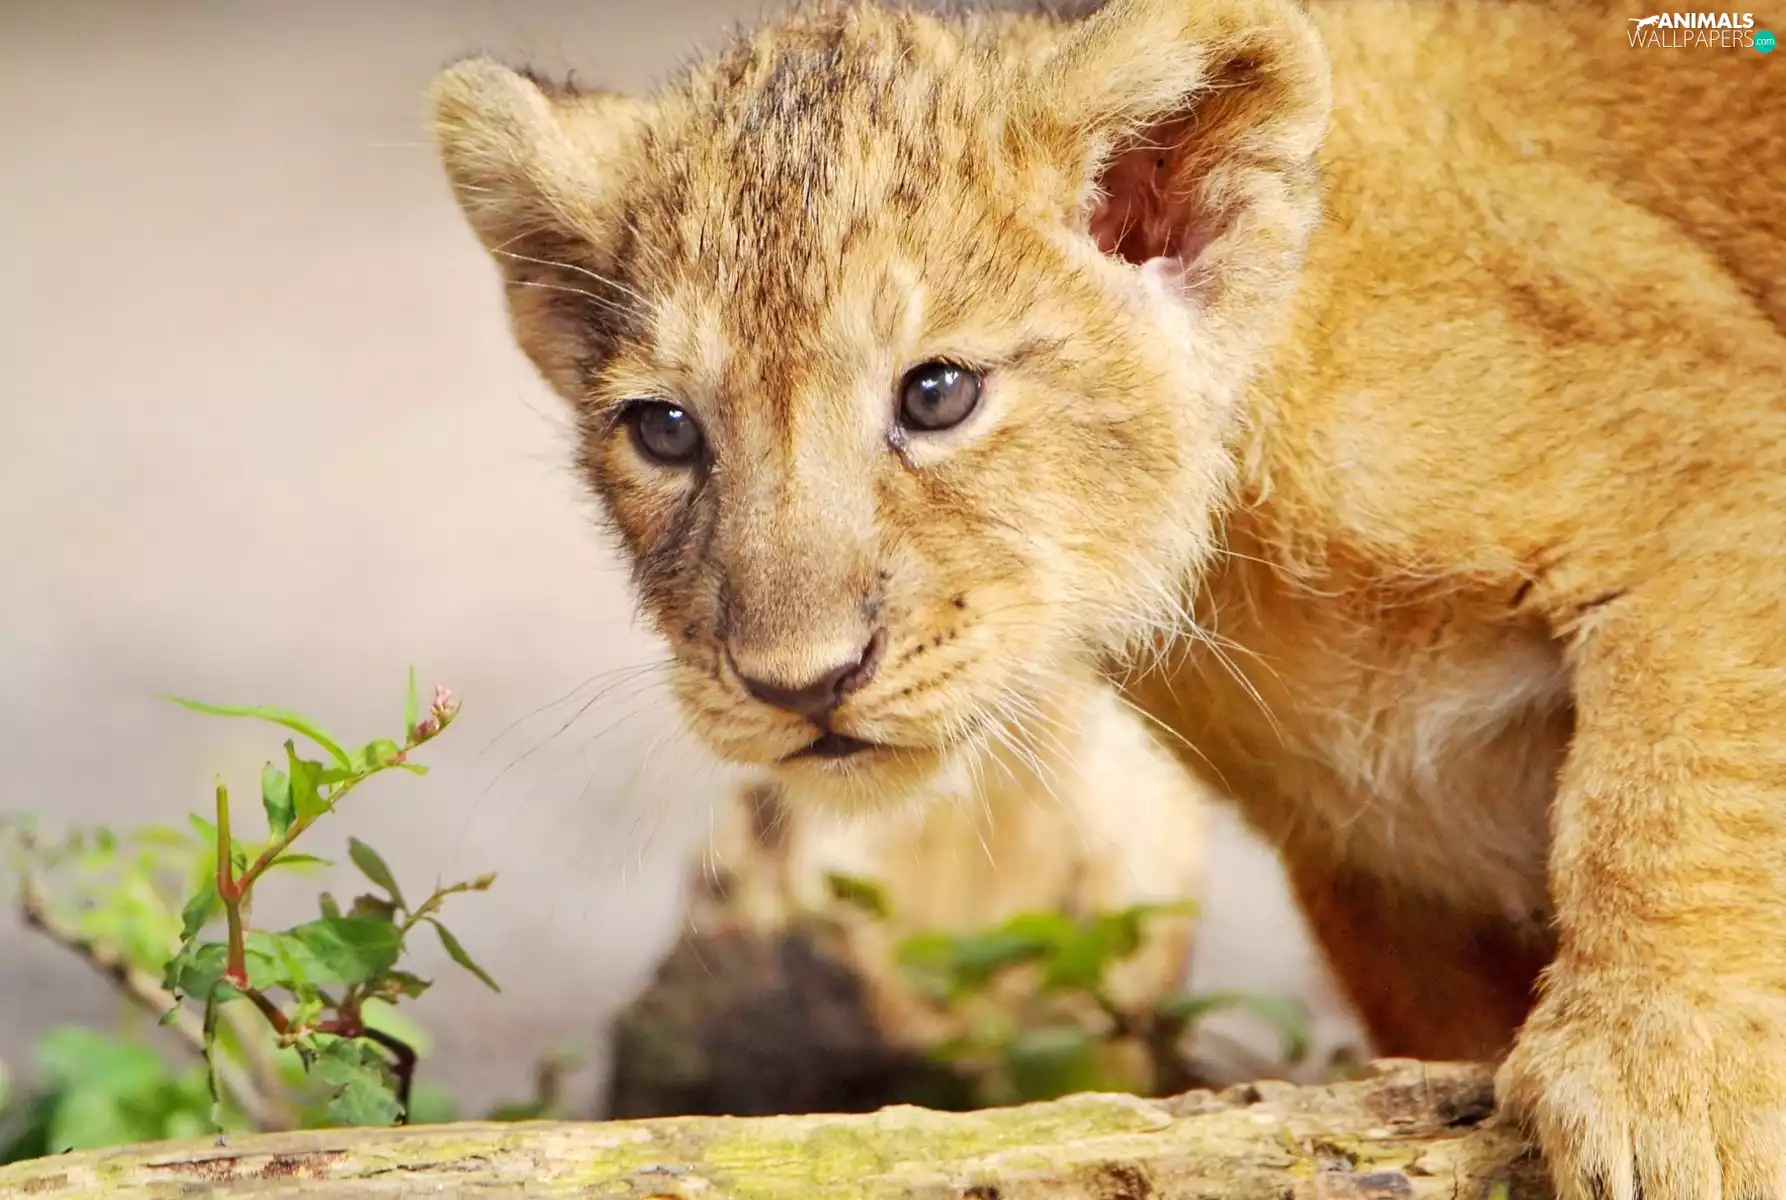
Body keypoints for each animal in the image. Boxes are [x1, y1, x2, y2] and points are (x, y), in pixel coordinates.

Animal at [427, 0, 1786, 1194]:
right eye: (665, 431)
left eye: (935, 395)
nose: (798, 683)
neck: (1236, 561)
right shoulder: (1387, 866)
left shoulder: (1714, 447)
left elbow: (1675, 782)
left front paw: (1668, 1094)